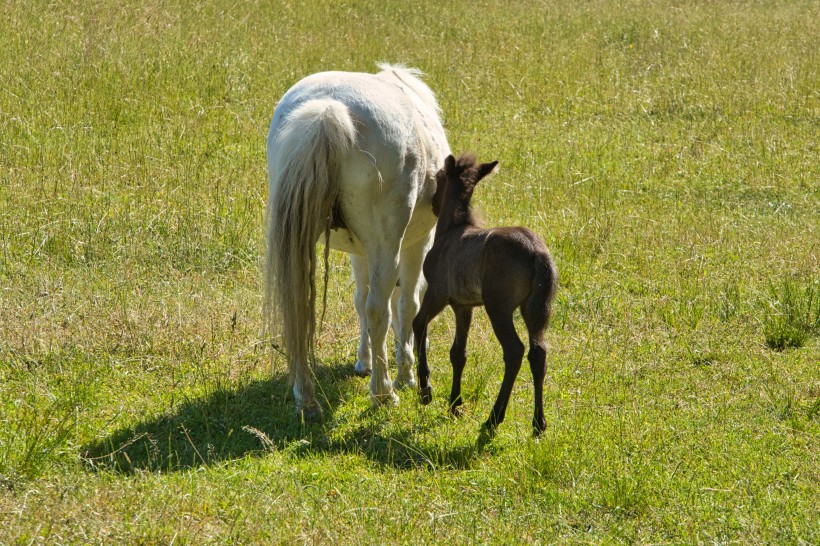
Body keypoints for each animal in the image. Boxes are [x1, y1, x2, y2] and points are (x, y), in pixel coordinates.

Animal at [266, 62, 452, 416]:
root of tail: (329, 111)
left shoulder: (360, 252)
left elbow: (358, 299)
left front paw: (364, 362)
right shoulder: (416, 245)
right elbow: (407, 305)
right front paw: (406, 372)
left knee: (298, 306)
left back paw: (306, 398)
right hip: (387, 246)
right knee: (379, 310)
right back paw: (383, 393)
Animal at [410, 152, 556, 434]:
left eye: (440, 177)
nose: (433, 204)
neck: (450, 230)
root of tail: (537, 254)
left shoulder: (438, 292)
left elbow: (419, 323)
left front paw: (426, 390)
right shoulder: (463, 305)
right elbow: (458, 353)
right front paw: (455, 404)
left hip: (498, 306)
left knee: (514, 351)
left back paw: (494, 418)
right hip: (536, 307)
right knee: (538, 352)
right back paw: (538, 422)